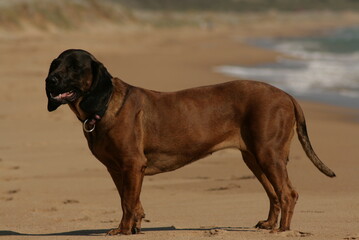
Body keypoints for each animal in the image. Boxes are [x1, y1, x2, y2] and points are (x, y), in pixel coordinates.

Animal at [45, 48, 338, 234]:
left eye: (74, 67)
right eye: (55, 64)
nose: (50, 80)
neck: (104, 105)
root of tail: (287, 95)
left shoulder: (131, 165)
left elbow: (127, 203)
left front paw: (122, 230)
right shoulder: (118, 170)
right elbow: (130, 202)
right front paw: (135, 226)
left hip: (268, 154)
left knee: (288, 193)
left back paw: (284, 230)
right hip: (255, 158)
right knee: (274, 194)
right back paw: (270, 224)